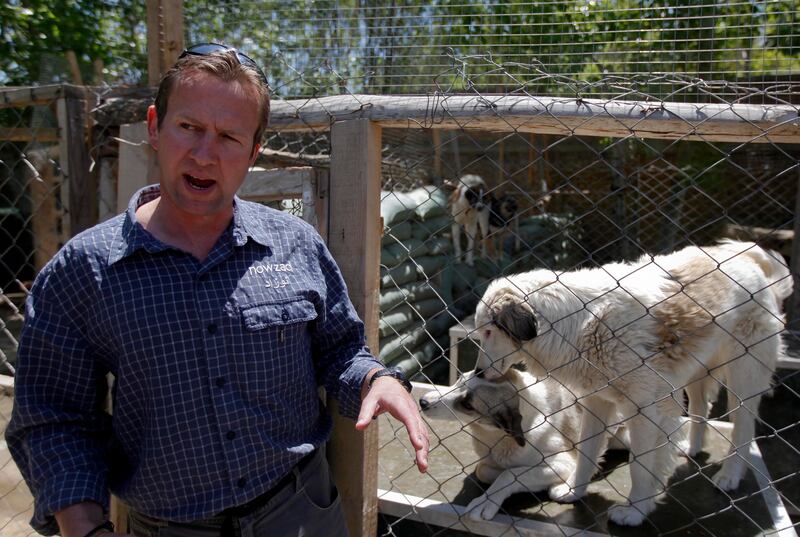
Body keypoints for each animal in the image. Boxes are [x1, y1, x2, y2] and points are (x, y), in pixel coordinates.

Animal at [472, 241, 792, 524]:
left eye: (488, 332)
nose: (477, 373)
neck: (576, 325)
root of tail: (750, 260)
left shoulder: (644, 411)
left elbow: (640, 467)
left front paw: (635, 512)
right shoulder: (596, 402)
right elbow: (586, 453)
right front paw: (574, 491)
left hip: (743, 374)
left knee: (743, 426)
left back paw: (729, 475)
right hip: (695, 371)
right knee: (701, 406)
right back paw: (691, 448)